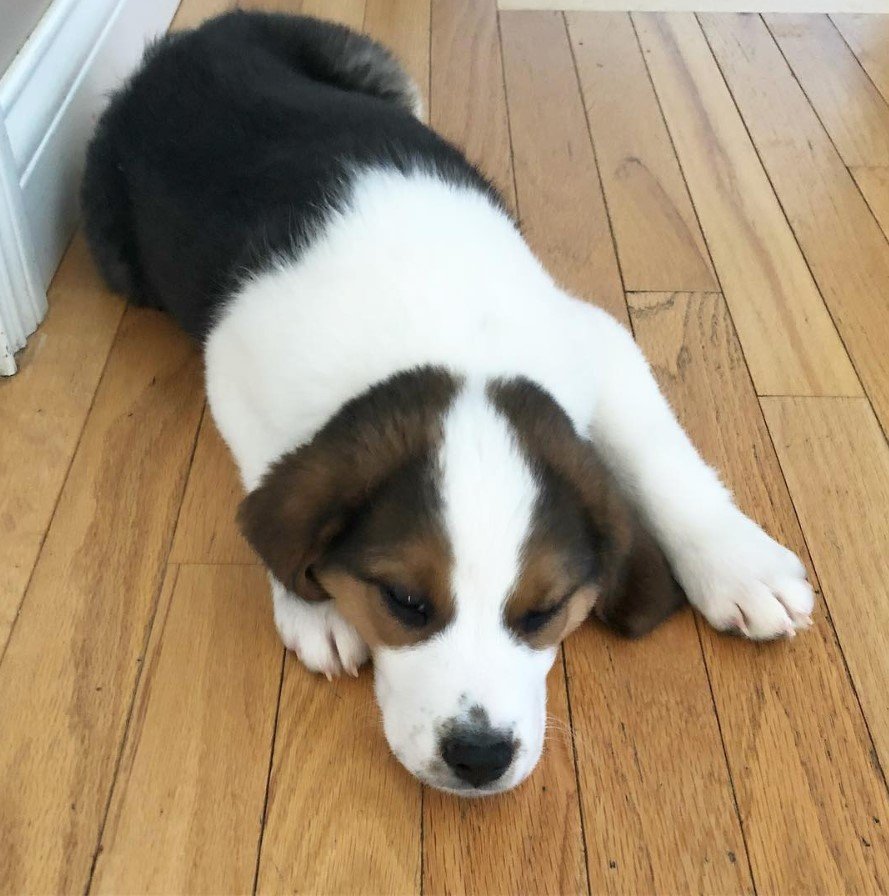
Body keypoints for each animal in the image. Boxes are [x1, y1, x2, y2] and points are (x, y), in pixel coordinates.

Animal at [83, 10, 812, 796]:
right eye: (404, 603)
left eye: (544, 611)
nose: (480, 757)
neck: (450, 344)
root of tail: (195, 36)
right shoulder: (234, 365)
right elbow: (268, 478)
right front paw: (310, 606)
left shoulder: (595, 340)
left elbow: (661, 457)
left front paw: (740, 563)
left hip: (387, 78)